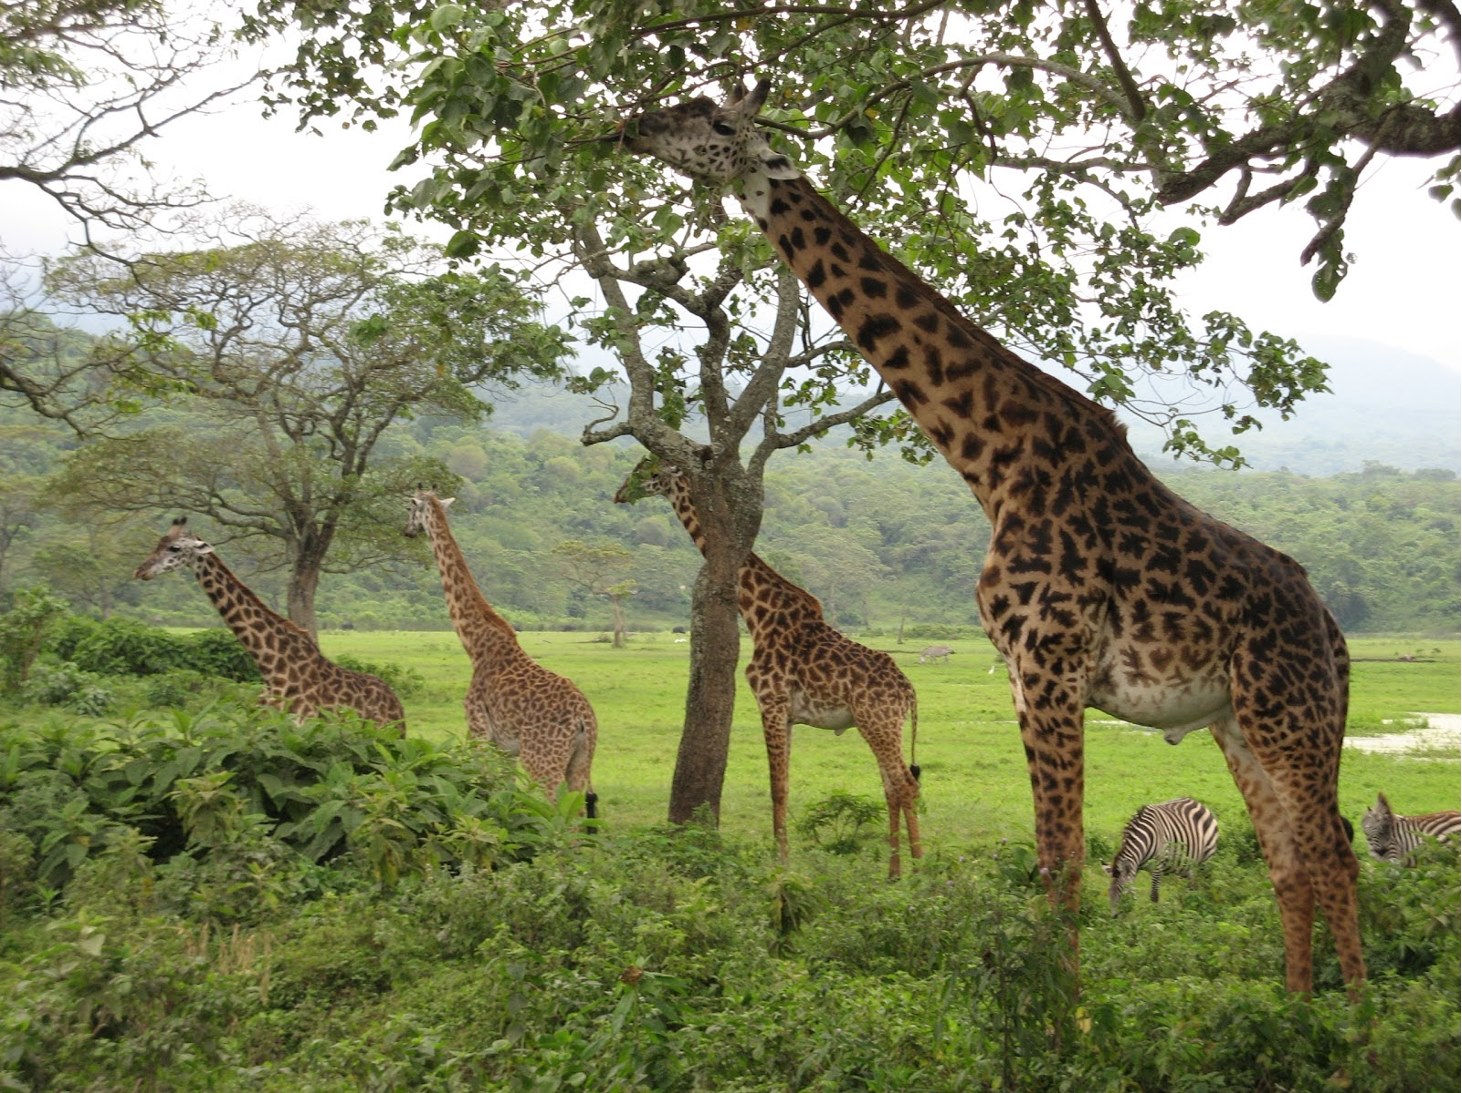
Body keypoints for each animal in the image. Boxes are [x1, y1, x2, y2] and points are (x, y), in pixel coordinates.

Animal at [133, 520, 406, 733]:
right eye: (158, 543)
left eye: (175, 547)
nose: (140, 570)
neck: (269, 668)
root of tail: (399, 708)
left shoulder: (304, 729)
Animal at [619, 458, 923, 876]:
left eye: (647, 470)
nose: (619, 493)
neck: (756, 615)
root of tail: (909, 691)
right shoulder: (788, 714)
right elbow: (786, 785)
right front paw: (784, 859)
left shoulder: (771, 702)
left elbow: (776, 787)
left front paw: (781, 866)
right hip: (879, 724)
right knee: (893, 786)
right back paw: (894, 873)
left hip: (878, 721)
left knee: (905, 784)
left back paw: (922, 869)